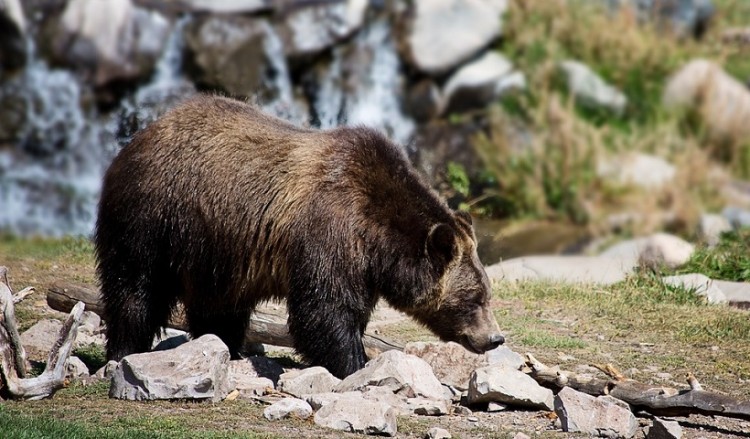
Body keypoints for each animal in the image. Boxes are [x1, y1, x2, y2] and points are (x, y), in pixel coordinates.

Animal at [95, 94, 506, 380]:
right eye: (475, 298)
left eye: (486, 292)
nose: (495, 338)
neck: (378, 239)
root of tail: (139, 136)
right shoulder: (330, 230)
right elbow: (324, 310)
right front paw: (355, 364)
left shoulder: (361, 265)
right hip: (155, 216)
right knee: (135, 288)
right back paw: (124, 350)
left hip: (214, 248)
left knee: (219, 305)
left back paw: (224, 347)